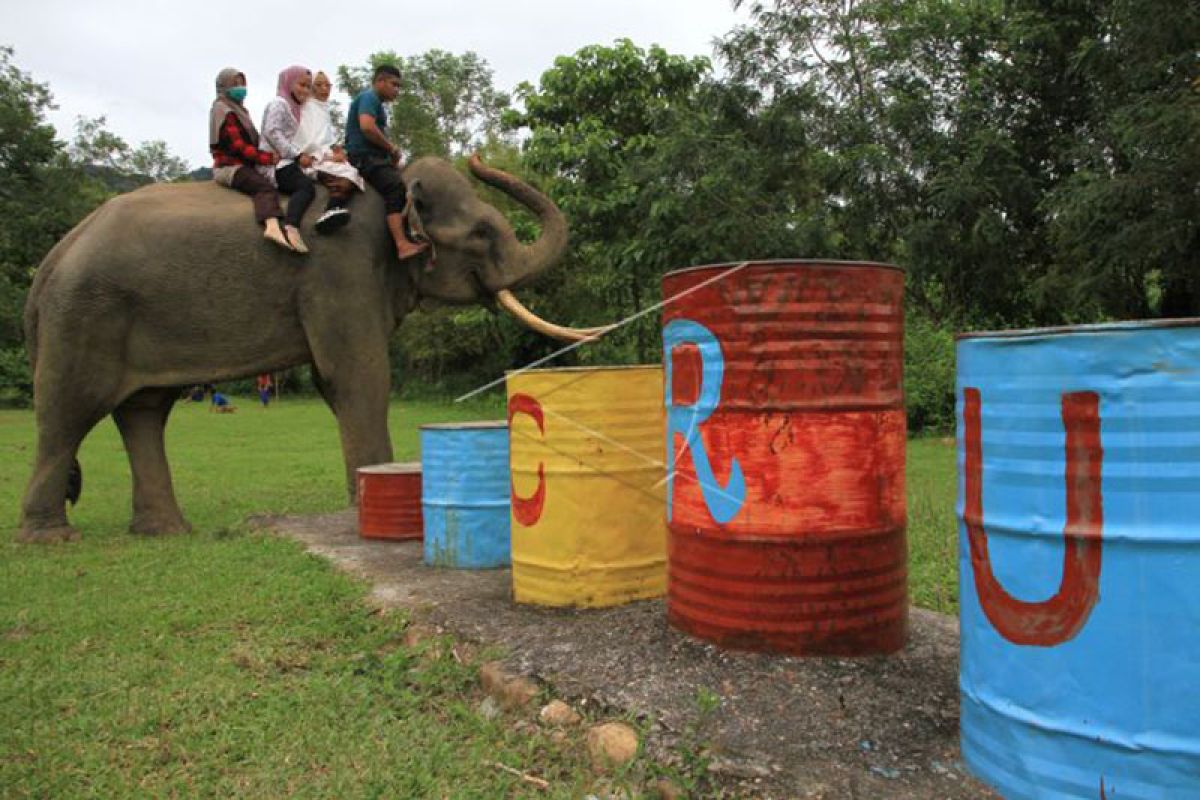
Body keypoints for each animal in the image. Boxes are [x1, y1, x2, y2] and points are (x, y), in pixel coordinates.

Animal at [17, 155, 600, 544]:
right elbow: (358, 374)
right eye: (480, 233)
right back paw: (52, 539)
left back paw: (167, 532)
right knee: (69, 412)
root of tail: (53, 258)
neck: (389, 191)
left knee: (143, 411)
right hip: (84, 317)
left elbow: (334, 380)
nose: (479, 159)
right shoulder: (338, 269)